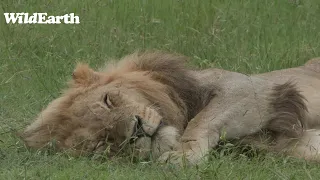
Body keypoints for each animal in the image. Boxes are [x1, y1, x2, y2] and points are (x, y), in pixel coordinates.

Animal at [19, 51, 320, 165]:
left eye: (108, 100)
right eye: (100, 143)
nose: (136, 130)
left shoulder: (249, 88)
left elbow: (201, 121)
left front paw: (182, 155)